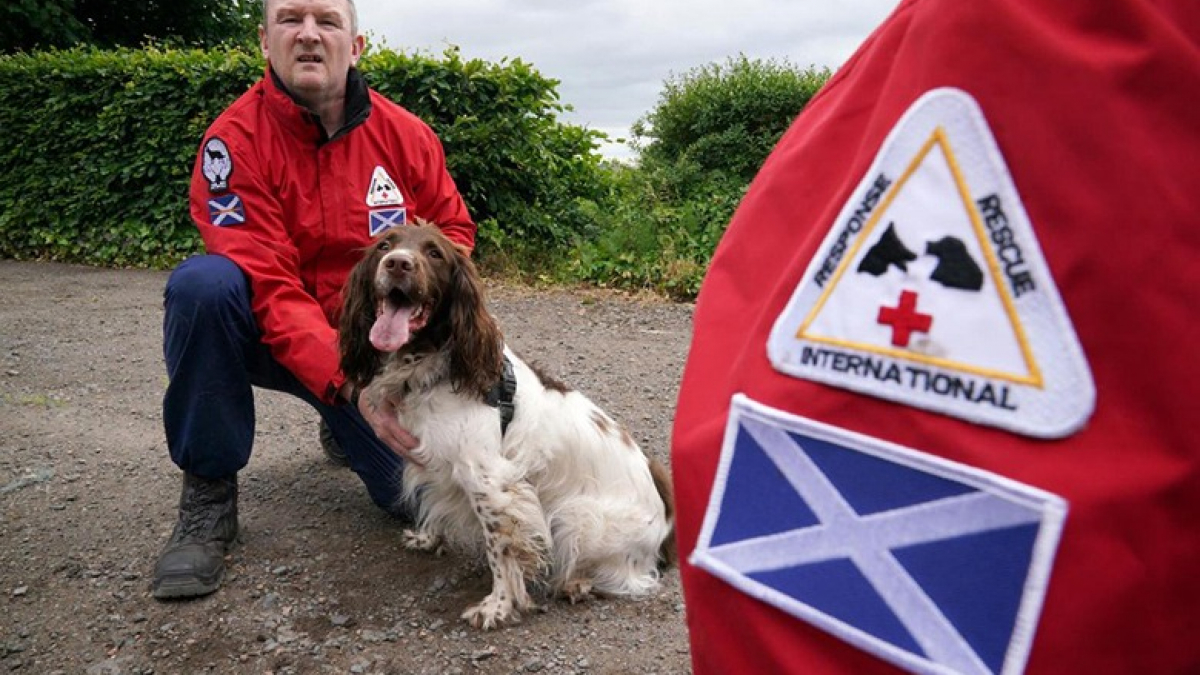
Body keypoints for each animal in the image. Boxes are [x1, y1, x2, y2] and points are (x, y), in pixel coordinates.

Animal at [338, 223, 676, 629]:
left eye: (434, 253)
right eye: (385, 245)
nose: (398, 263)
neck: (434, 363)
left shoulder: (490, 482)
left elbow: (501, 549)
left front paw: (498, 606)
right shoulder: (434, 463)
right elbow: (433, 501)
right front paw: (428, 538)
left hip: (580, 517)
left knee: (634, 577)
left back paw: (577, 583)